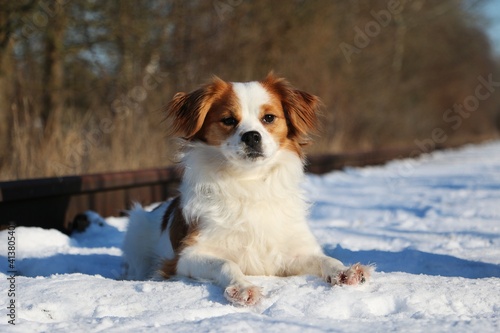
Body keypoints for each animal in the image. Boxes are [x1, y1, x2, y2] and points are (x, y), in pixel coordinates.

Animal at [122, 74, 372, 304]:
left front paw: (345, 271)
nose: (251, 136)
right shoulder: (186, 257)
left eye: (269, 117)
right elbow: (227, 263)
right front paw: (243, 288)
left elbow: (324, 259)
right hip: (136, 227)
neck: (250, 181)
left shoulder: (291, 253)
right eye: (228, 120)